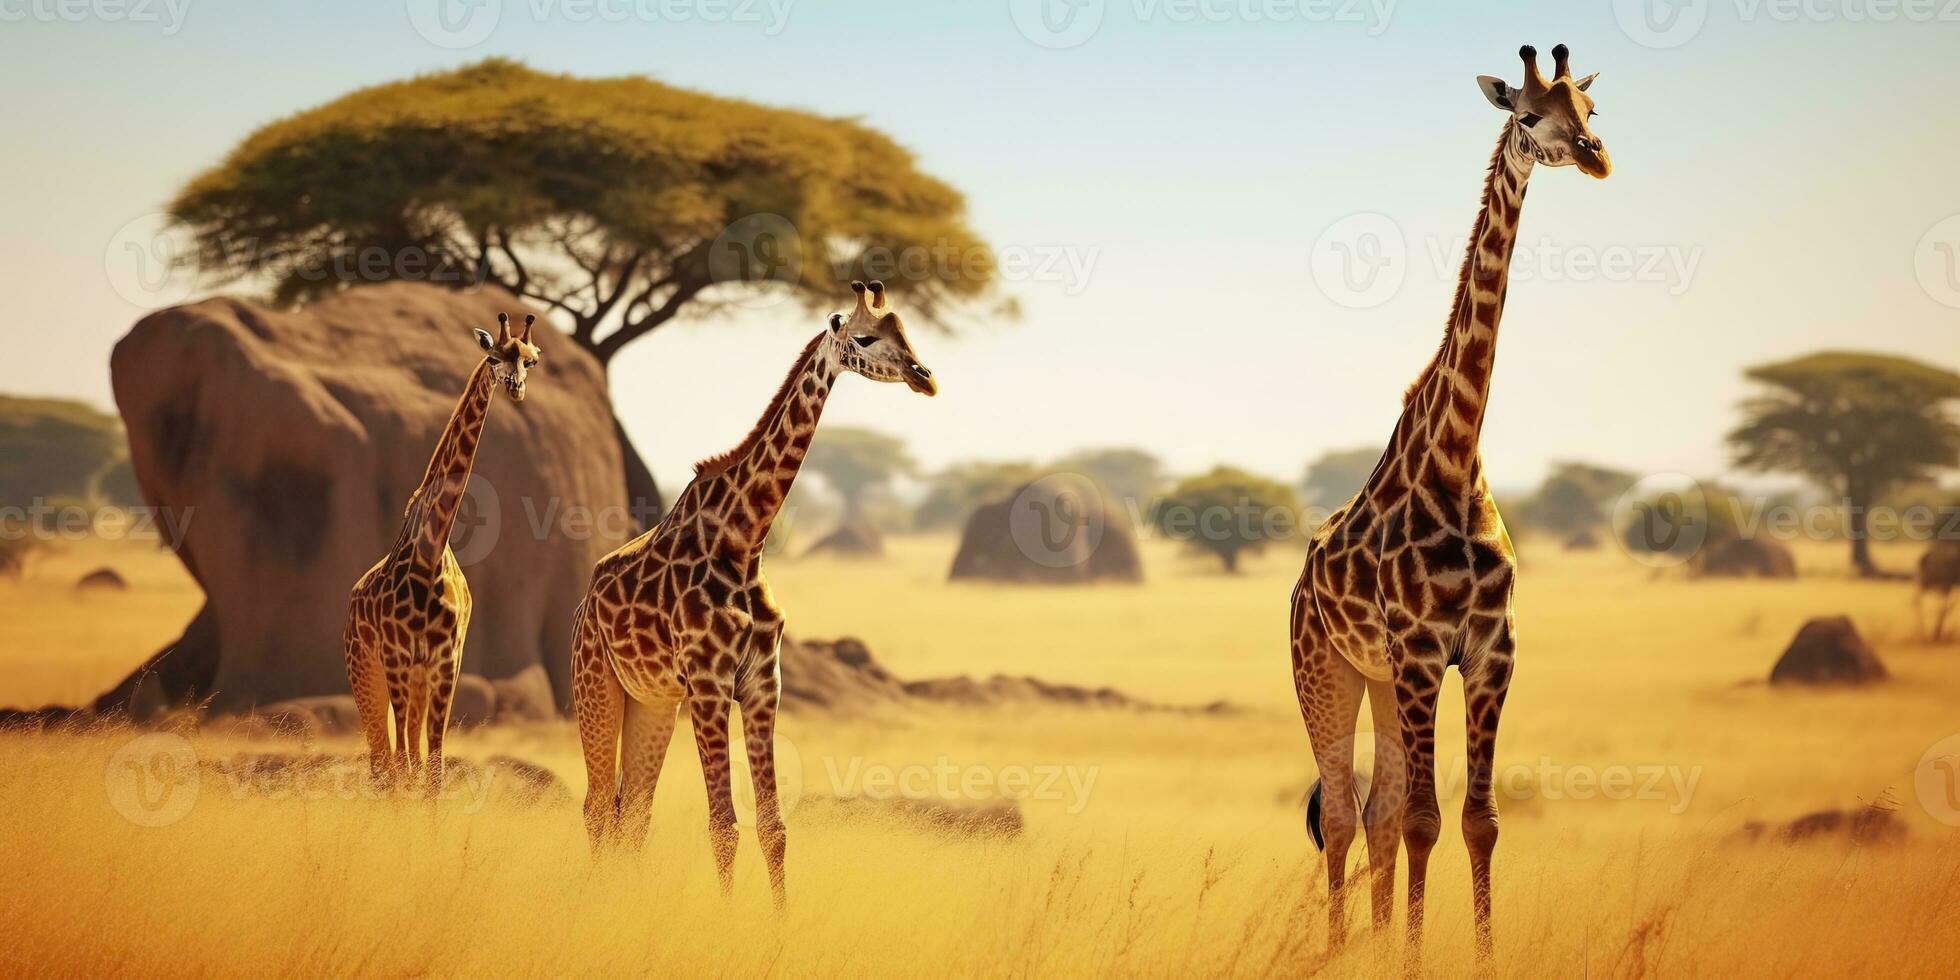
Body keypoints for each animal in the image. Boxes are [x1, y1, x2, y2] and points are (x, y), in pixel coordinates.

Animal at [344, 311, 544, 787]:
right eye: (494, 356)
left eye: (530, 359)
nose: (515, 387)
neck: (430, 554)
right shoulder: (397, 659)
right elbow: (404, 766)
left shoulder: (445, 663)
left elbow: (432, 768)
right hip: (365, 673)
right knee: (382, 762)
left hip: (413, 680)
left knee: (403, 758)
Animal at [572, 278, 936, 901]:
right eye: (866, 337)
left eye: (906, 330)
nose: (925, 377)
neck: (745, 541)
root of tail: (581, 609)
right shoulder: (709, 684)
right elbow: (723, 825)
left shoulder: (765, 685)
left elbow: (773, 827)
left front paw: (780, 921)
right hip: (595, 687)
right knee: (597, 807)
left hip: (652, 703)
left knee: (632, 811)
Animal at [1285, 42, 1607, 960]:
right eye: (1529, 117)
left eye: (1590, 112)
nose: (1596, 157)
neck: (1458, 458)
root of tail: (1299, 587)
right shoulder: (1427, 652)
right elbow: (1429, 819)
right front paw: (1416, 959)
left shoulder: (1493, 652)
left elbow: (1477, 821)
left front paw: (1472, 954)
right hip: (1327, 672)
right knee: (1345, 814)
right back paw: (1337, 949)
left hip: (1383, 682)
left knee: (1378, 813)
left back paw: (1369, 939)